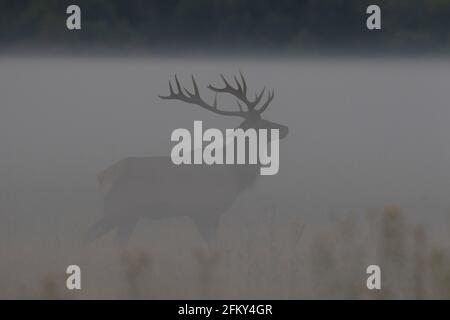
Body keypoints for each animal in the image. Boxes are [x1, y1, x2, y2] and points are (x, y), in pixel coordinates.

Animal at [86, 73, 286, 245]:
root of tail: (103, 175)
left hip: (128, 216)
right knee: (89, 233)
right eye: (264, 124)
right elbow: (214, 245)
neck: (235, 173)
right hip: (120, 209)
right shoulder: (206, 210)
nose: (286, 128)